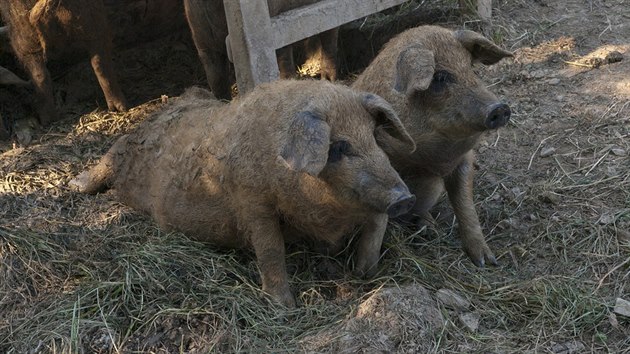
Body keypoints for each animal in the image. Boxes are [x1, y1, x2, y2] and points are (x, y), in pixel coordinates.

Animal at [69, 80, 418, 306]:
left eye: (374, 136)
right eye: (339, 147)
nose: (405, 199)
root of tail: (173, 102)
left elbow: (375, 224)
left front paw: (365, 273)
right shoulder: (251, 200)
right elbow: (270, 249)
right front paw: (283, 307)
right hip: (124, 149)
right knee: (107, 157)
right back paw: (75, 185)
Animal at [354, 24, 516, 266]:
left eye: (470, 68)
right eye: (440, 77)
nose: (499, 108)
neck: (433, 157)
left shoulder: (465, 159)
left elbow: (465, 205)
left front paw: (486, 261)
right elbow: (379, 217)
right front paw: (366, 269)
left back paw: (430, 229)